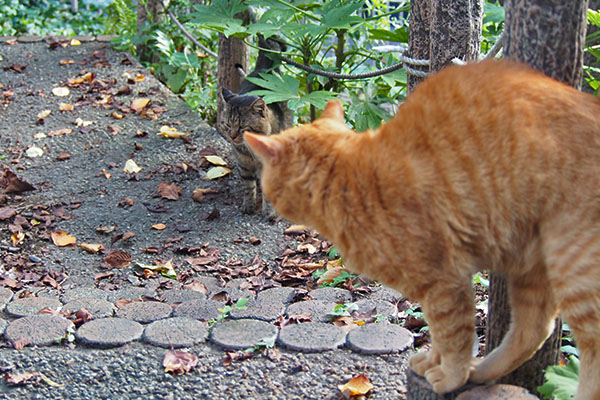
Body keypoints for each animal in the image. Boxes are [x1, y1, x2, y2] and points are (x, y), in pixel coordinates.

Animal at [221, 36, 294, 217]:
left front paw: (269, 211)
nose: (232, 136)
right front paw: (248, 205)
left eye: (242, 127)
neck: (251, 151)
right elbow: (248, 187)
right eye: (227, 125)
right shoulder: (244, 166)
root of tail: (263, 67)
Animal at [244, 59, 600, 396]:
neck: (349, 178)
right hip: (533, 266)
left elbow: (453, 336)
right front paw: (435, 363)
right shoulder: (439, 289)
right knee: (534, 329)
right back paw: (482, 371)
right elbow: (439, 335)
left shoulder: (444, 282)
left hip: (574, 264)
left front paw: (451, 375)